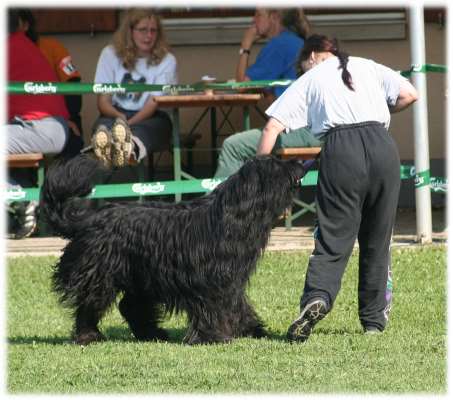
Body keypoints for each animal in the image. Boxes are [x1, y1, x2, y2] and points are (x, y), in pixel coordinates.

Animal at [41, 155, 304, 346]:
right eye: (279, 164)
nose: (301, 163)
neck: (233, 215)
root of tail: (89, 220)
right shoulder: (211, 278)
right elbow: (214, 306)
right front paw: (213, 337)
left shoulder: (231, 279)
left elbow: (237, 304)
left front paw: (252, 329)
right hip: (100, 273)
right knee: (90, 305)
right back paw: (88, 336)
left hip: (141, 277)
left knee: (131, 306)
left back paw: (153, 333)